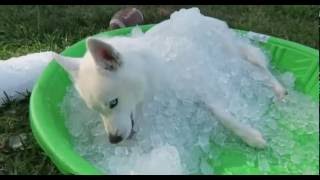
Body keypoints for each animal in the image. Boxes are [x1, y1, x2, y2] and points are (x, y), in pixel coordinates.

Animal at [53, 8, 288, 149]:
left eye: (113, 103)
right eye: (96, 111)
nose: (114, 140)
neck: (153, 71)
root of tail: (200, 16)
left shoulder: (200, 84)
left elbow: (223, 114)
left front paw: (249, 135)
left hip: (232, 58)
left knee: (259, 68)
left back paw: (279, 89)